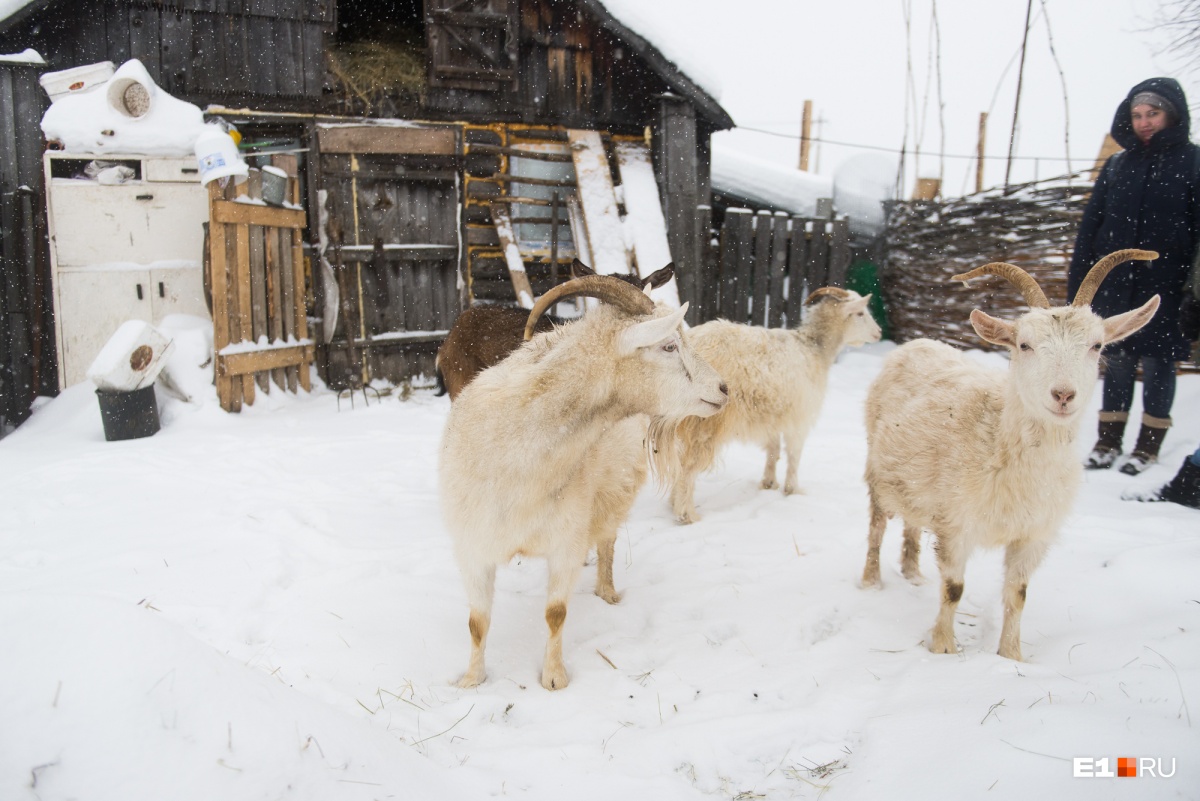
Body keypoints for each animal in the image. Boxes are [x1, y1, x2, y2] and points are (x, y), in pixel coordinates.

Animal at [439, 273, 724, 690]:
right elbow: (477, 622)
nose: (724, 389)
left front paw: (554, 678)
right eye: (669, 345)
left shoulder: (565, 541)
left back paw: (606, 590)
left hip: (614, 490)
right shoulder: (472, 547)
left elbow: (555, 613)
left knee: (606, 540)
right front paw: (472, 680)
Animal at [864, 251, 1161, 661]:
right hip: (877, 472)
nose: (1063, 395)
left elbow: (1018, 595)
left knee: (911, 523)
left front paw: (1011, 657)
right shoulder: (958, 525)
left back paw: (912, 575)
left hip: (918, 485)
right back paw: (871, 583)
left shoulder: (1032, 535)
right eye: (1024, 345)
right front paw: (943, 649)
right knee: (877, 528)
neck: (1000, 440)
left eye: (1097, 345)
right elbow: (954, 588)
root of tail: (918, 343)